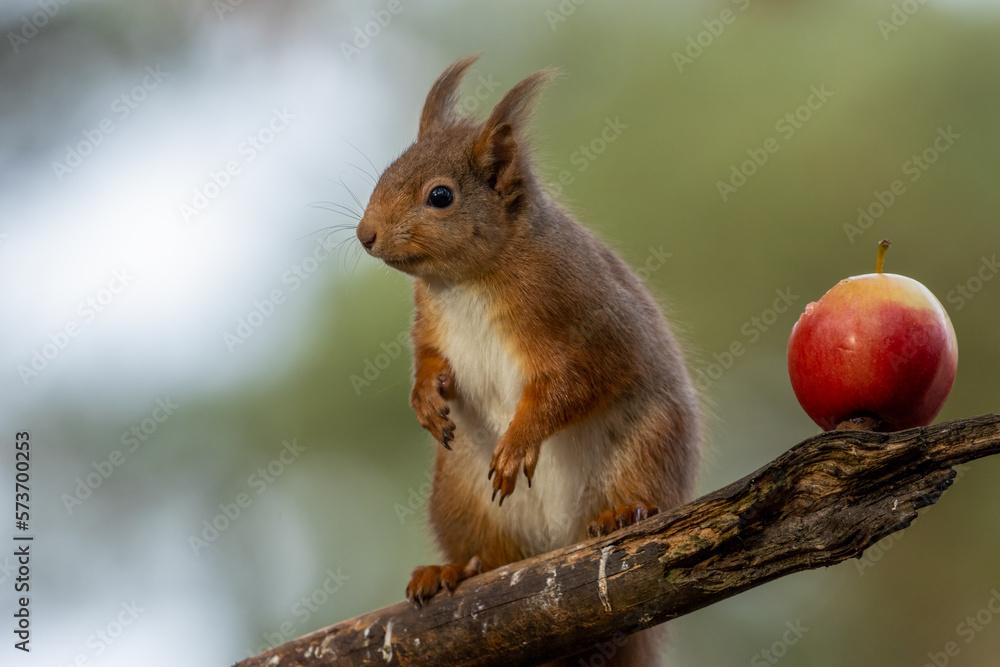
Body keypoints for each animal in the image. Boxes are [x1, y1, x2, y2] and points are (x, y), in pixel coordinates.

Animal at [356, 55, 701, 666]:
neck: (464, 280)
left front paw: (519, 442)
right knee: (489, 558)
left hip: (648, 443)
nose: (364, 234)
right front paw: (425, 399)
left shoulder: (585, 316)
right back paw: (450, 570)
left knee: (643, 494)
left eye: (440, 196)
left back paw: (623, 513)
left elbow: (575, 383)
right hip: (459, 495)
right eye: (385, 173)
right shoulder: (430, 324)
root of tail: (554, 546)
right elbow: (429, 360)